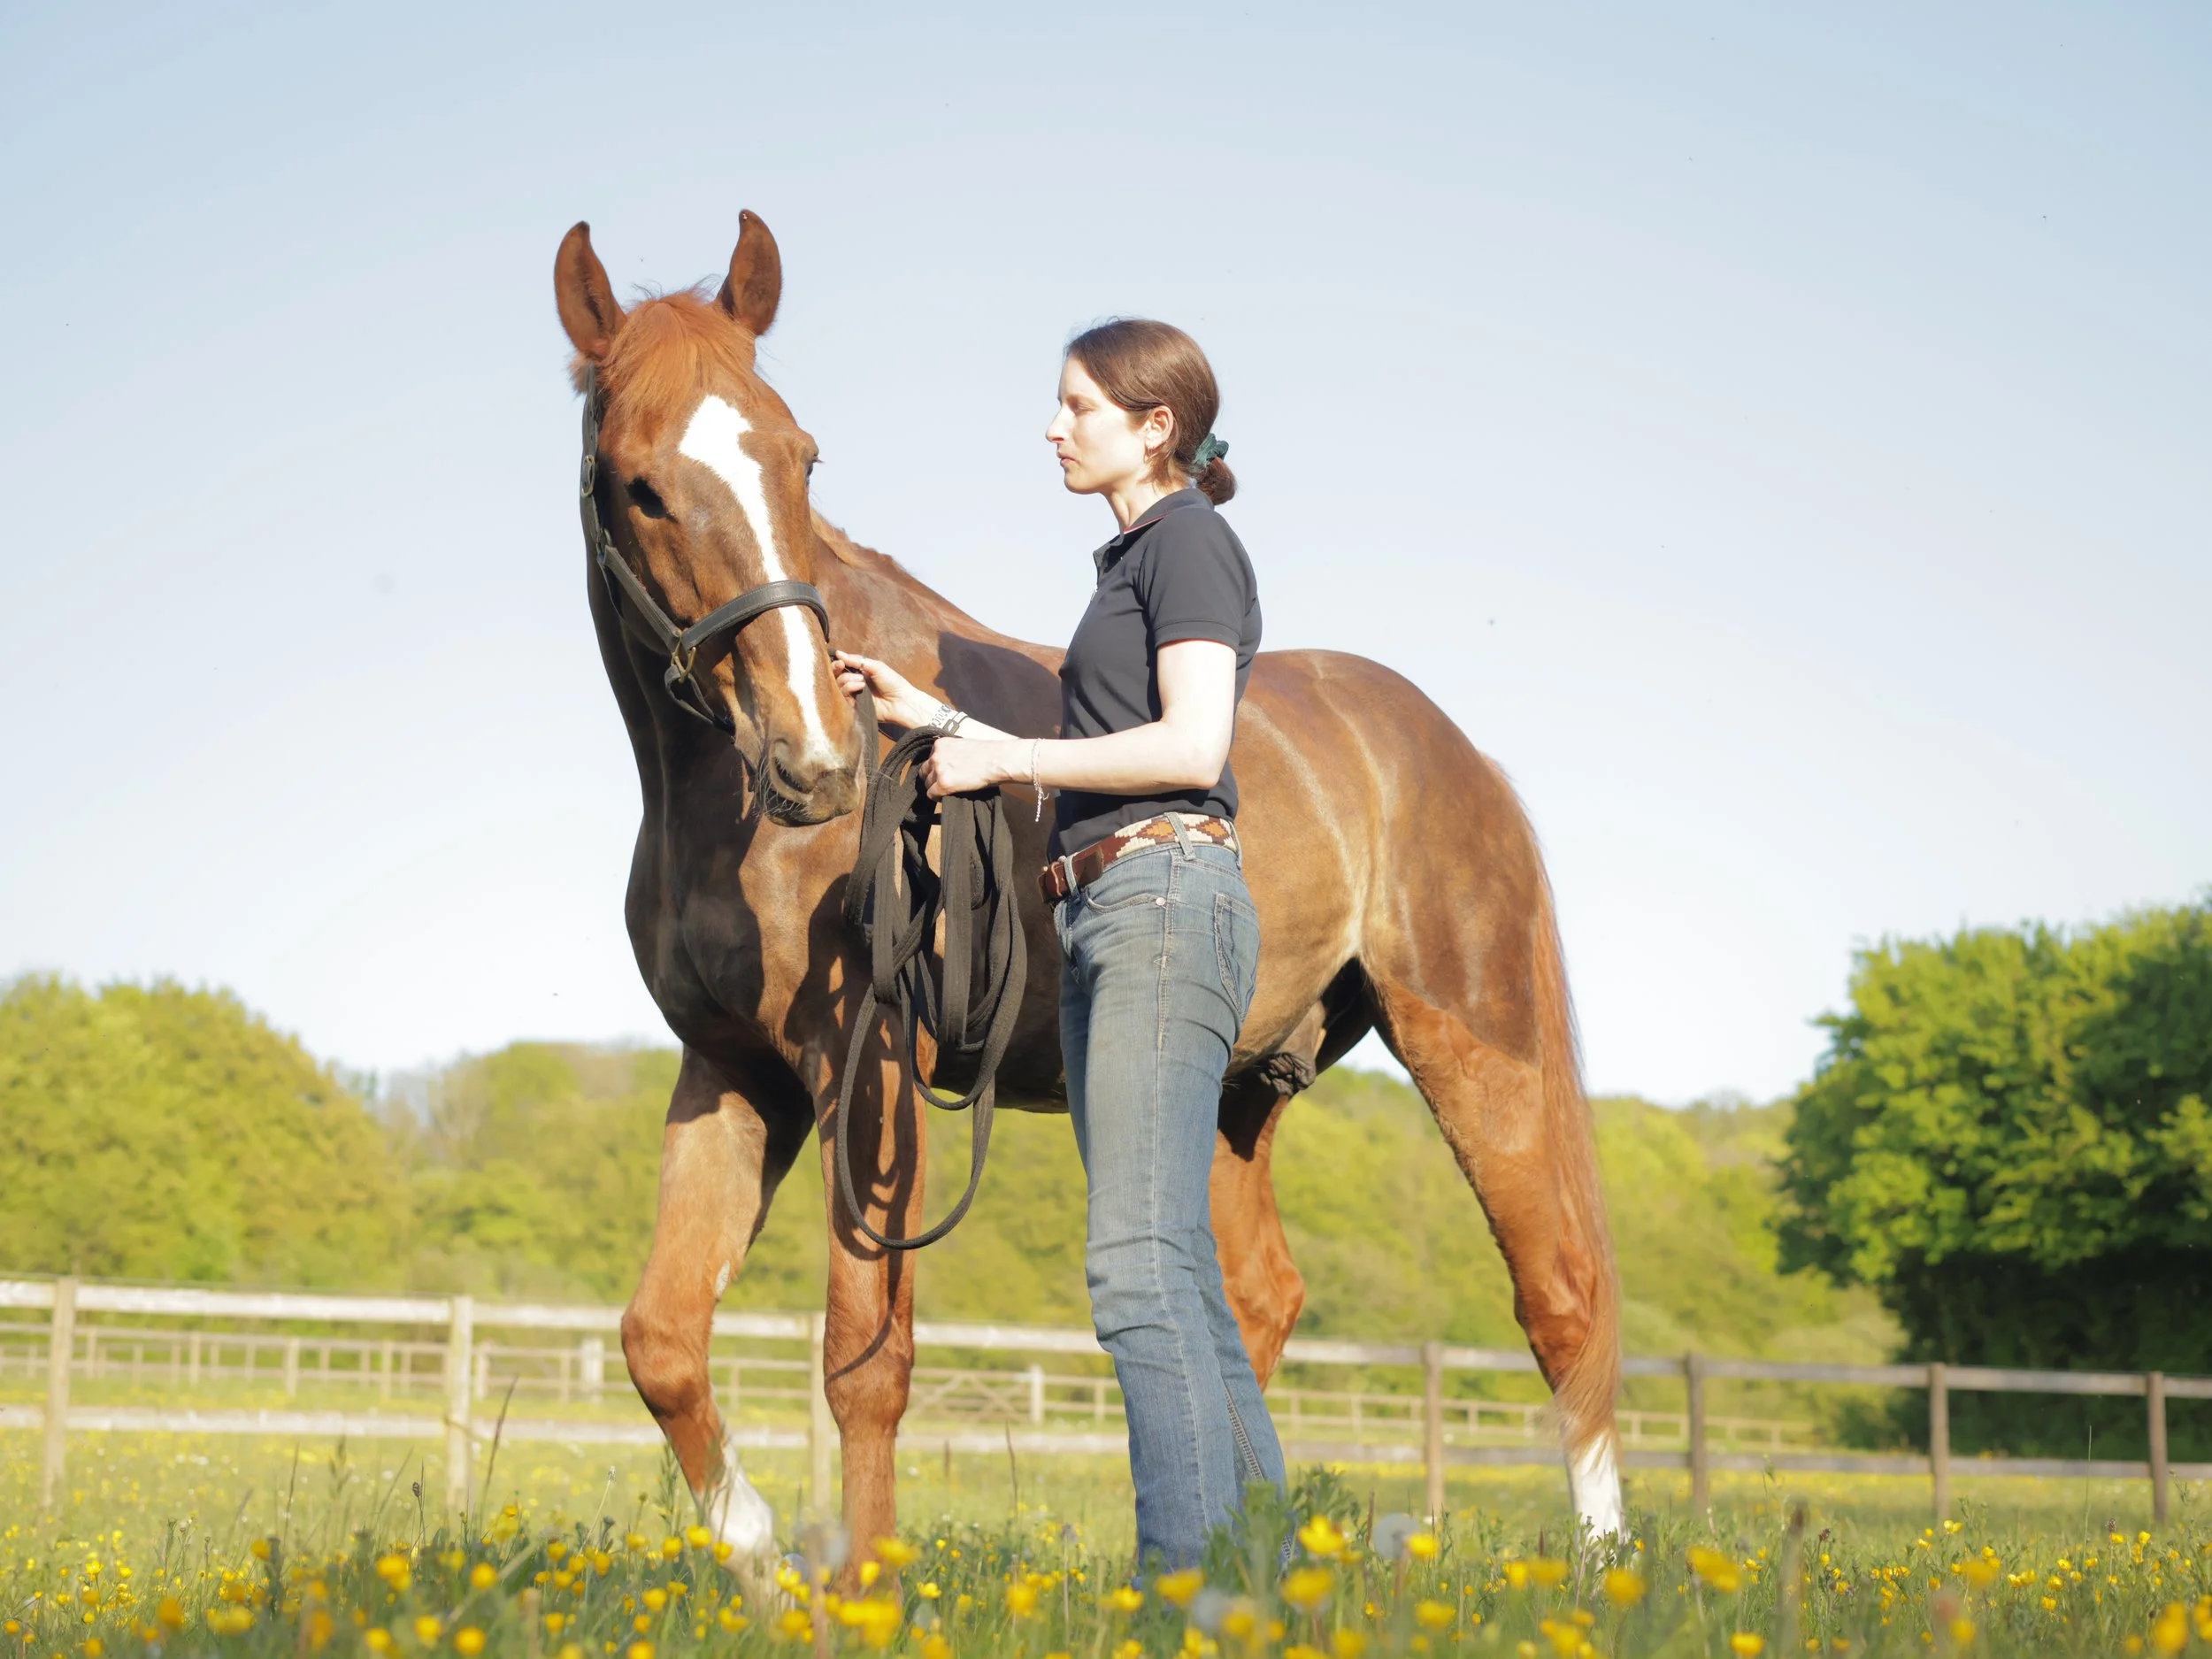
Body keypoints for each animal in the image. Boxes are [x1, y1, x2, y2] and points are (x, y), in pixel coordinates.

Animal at [552, 210, 1623, 1567]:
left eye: (800, 458)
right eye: (640, 482)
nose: (817, 757)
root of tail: (1455, 752)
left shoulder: (871, 1068)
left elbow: (866, 1363)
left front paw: (863, 1584)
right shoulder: (730, 1069)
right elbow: (661, 1341)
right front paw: (759, 1564)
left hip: (1478, 1049)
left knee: (1562, 1298)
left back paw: (1601, 1566)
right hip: (1229, 1088)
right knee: (1252, 1298)